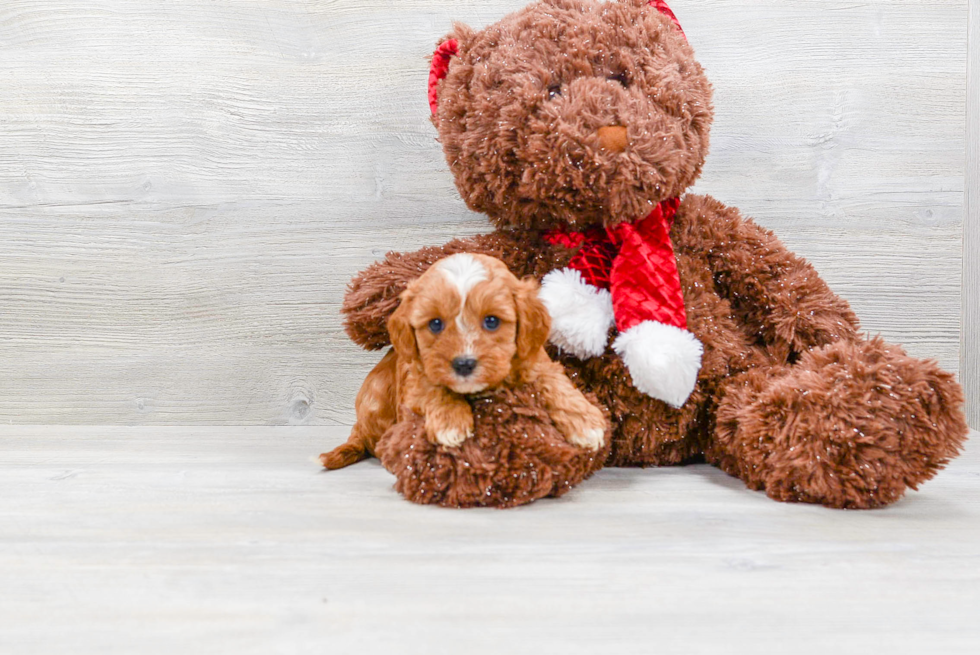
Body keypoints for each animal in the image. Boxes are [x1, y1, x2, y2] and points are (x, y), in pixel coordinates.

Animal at [322, 252, 608, 472]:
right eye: (435, 324)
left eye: (491, 321)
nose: (464, 364)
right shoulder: (415, 377)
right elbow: (432, 387)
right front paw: (450, 424)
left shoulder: (535, 360)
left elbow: (557, 383)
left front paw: (586, 424)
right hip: (376, 399)